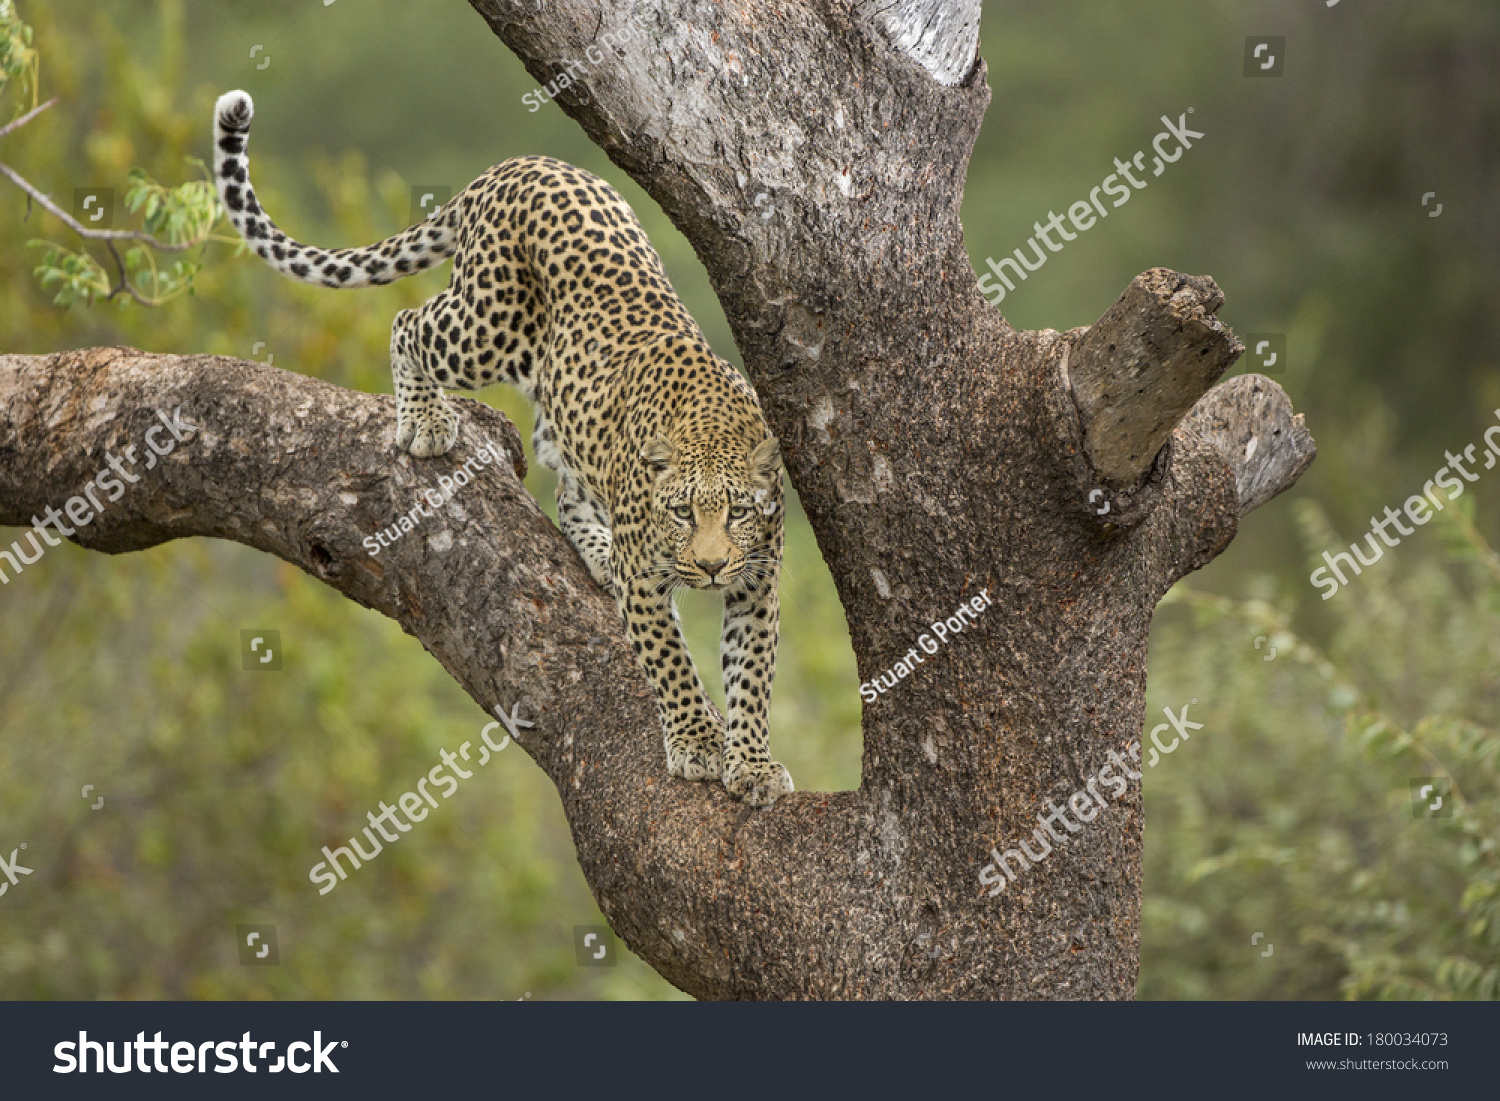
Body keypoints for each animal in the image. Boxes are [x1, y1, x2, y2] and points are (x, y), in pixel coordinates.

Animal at [217, 86, 798, 804]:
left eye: (739, 512)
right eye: (683, 512)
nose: (713, 566)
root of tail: (515, 166)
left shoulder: (759, 581)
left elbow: (752, 676)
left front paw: (753, 762)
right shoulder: (648, 580)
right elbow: (671, 662)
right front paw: (695, 743)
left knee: (567, 476)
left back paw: (595, 548)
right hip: (486, 327)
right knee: (409, 322)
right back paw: (426, 421)